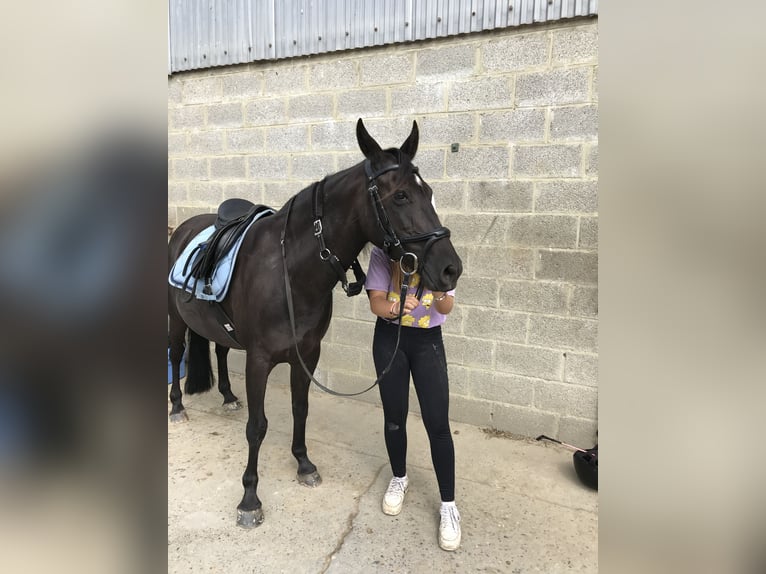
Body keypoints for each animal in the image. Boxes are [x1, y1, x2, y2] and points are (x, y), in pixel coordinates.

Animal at [167, 118, 463, 528]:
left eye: (429, 192)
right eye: (401, 196)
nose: (451, 269)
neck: (288, 272)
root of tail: (183, 229)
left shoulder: (307, 354)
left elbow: (300, 409)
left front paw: (304, 464)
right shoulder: (259, 360)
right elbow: (257, 427)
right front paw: (249, 499)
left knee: (221, 351)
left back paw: (227, 397)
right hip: (175, 322)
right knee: (176, 352)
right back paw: (177, 408)